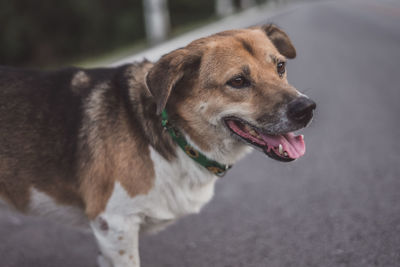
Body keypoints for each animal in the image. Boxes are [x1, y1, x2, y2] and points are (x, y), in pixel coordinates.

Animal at [0, 24, 316, 266]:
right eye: (238, 81)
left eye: (280, 66)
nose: (307, 109)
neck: (173, 135)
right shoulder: (114, 225)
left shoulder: (108, 238)